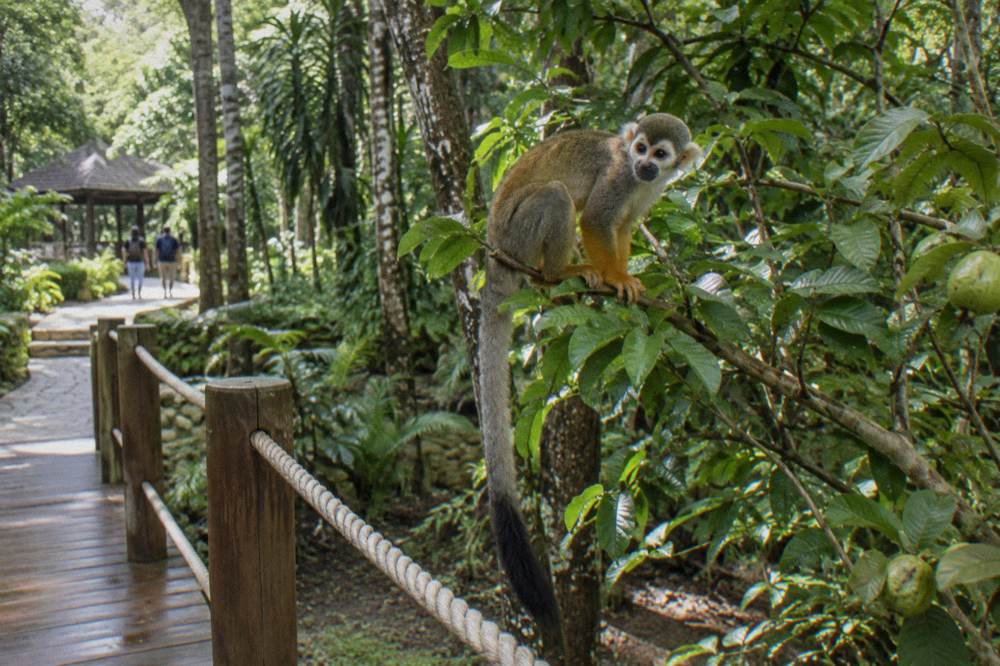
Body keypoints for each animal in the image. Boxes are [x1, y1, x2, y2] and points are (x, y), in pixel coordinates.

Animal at [478, 113, 702, 631]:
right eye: (639, 148)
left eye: (660, 155)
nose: (643, 164)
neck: (638, 181)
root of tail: (495, 252)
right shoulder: (617, 178)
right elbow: (598, 220)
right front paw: (617, 277)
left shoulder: (647, 191)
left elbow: (624, 226)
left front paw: (630, 277)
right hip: (519, 235)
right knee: (557, 198)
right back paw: (558, 274)